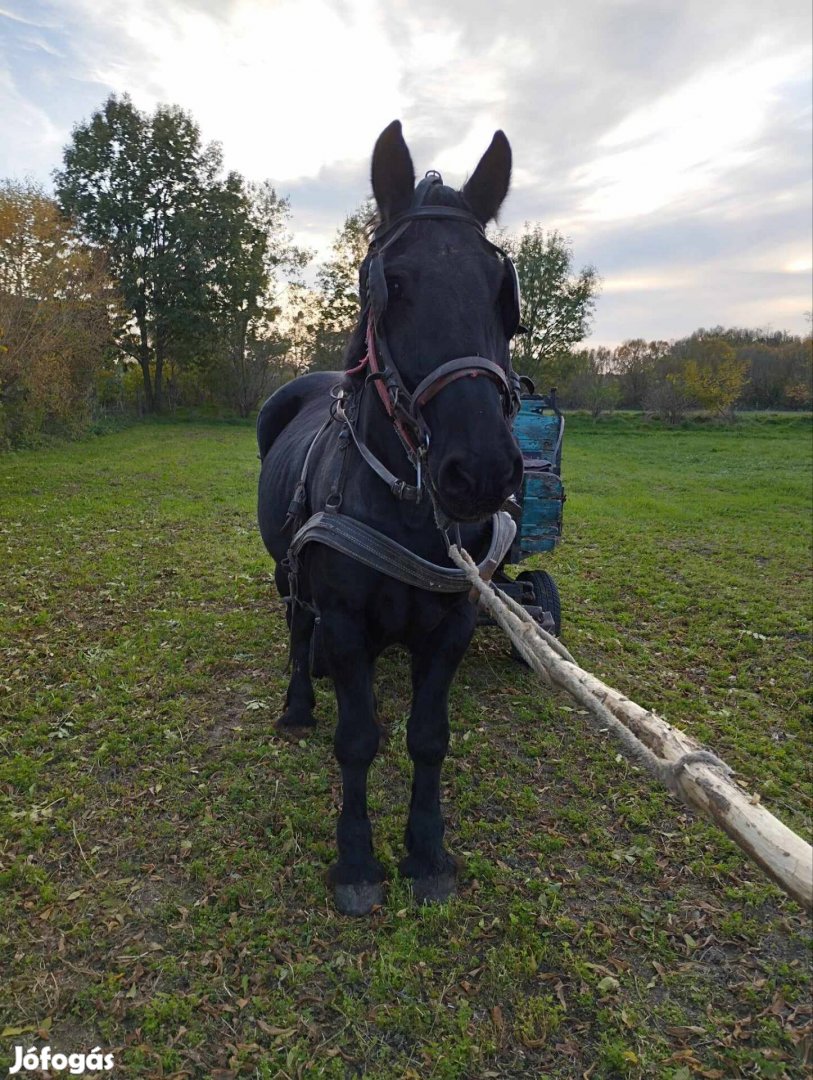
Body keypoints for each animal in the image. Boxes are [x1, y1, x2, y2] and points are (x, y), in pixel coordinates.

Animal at [260, 120, 526, 911]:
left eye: (501, 293)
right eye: (391, 284)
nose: (481, 470)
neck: (407, 511)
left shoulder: (454, 624)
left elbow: (426, 737)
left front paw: (427, 852)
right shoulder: (347, 624)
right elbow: (357, 739)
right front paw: (355, 861)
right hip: (291, 579)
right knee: (299, 630)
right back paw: (298, 704)